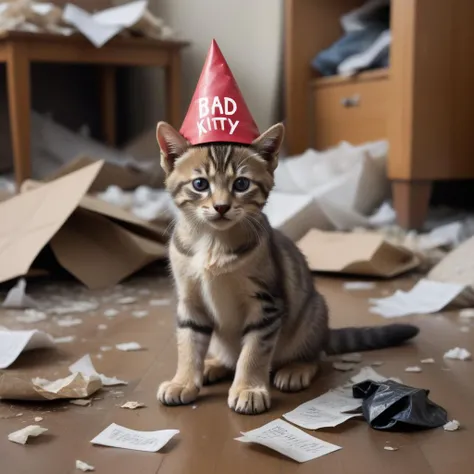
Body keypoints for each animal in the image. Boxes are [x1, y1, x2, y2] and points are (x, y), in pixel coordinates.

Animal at [156, 121, 418, 414]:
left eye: (241, 184)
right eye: (200, 184)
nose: (221, 206)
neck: (212, 243)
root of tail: (325, 333)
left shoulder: (266, 304)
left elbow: (254, 352)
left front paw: (248, 388)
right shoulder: (190, 302)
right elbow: (188, 346)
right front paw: (183, 381)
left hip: (313, 313)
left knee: (315, 356)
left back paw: (296, 369)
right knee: (229, 356)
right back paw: (213, 365)